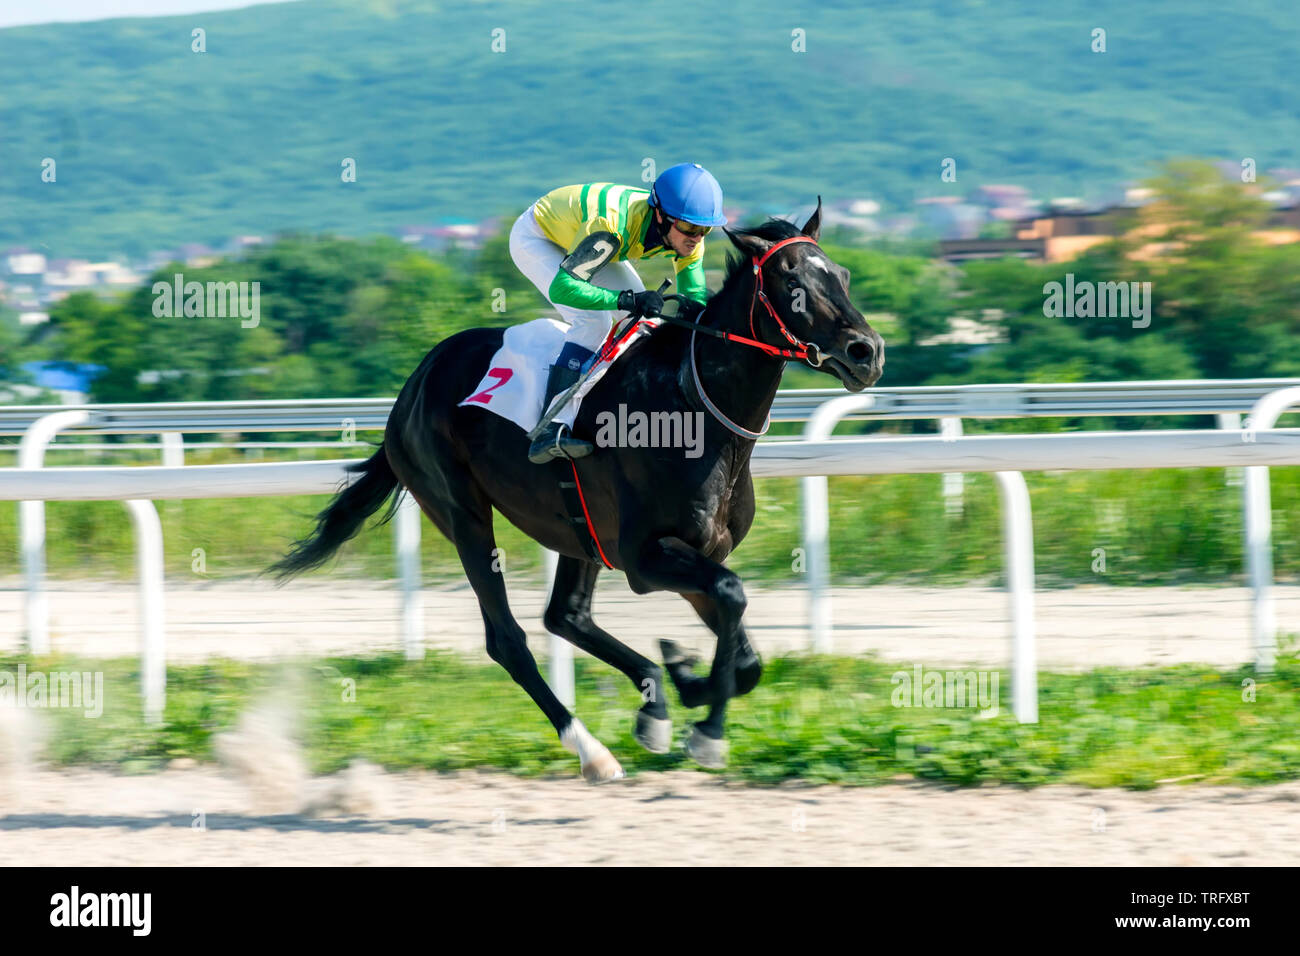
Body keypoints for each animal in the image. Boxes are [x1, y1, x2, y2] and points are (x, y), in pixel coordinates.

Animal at [270, 197, 889, 780]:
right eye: (791, 283)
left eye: (842, 274)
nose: (867, 352)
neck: (692, 409)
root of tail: (413, 385)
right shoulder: (645, 558)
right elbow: (733, 596)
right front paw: (707, 728)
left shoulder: (700, 551)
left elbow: (745, 653)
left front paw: (687, 681)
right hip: (462, 512)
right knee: (509, 639)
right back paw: (593, 751)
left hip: (577, 531)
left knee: (564, 615)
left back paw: (653, 697)